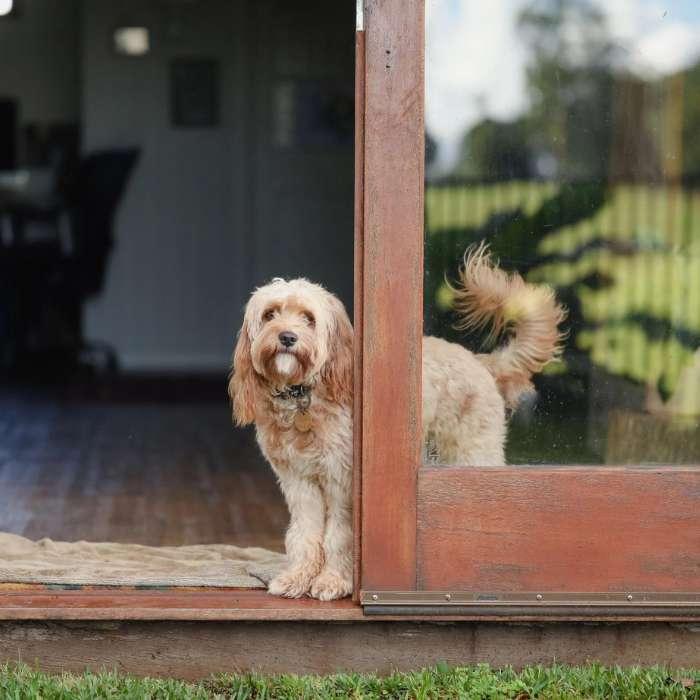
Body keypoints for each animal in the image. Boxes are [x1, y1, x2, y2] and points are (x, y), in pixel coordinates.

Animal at [230, 243, 564, 600]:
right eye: (270, 314)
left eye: (308, 318)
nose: (287, 337)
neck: (303, 395)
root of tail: (479, 361)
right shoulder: (299, 481)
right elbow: (305, 534)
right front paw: (298, 577)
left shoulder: (342, 480)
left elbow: (339, 536)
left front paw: (333, 580)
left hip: (472, 455)